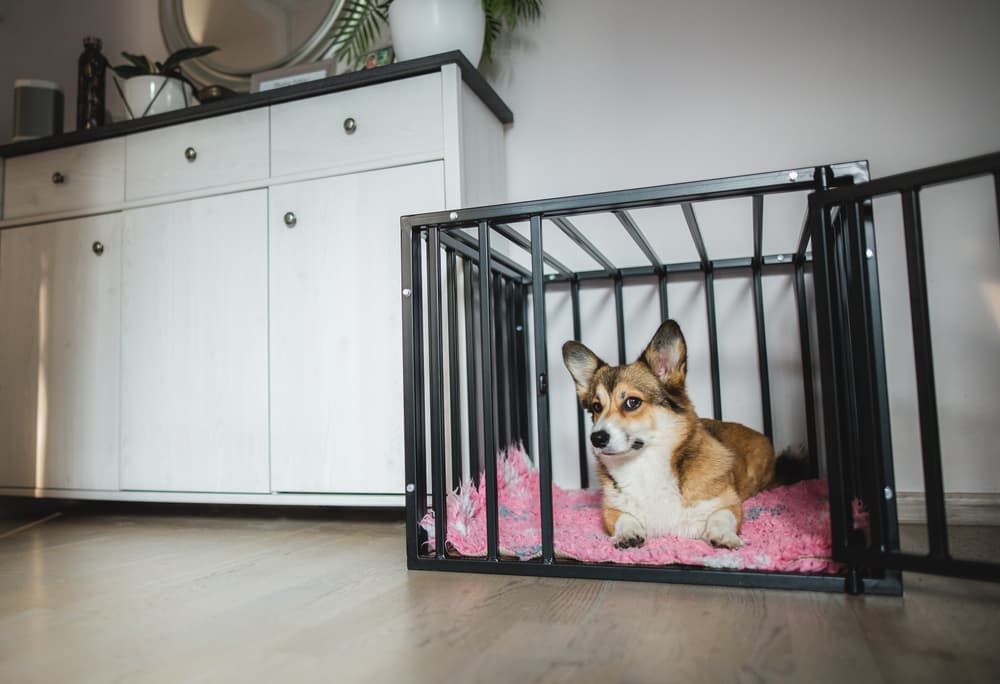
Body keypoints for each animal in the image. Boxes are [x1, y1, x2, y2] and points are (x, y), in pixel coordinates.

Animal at [564, 320, 804, 552]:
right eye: (596, 407)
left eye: (632, 402)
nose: (596, 438)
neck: (645, 463)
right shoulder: (611, 509)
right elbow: (624, 518)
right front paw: (627, 534)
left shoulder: (729, 503)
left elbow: (721, 516)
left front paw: (724, 537)